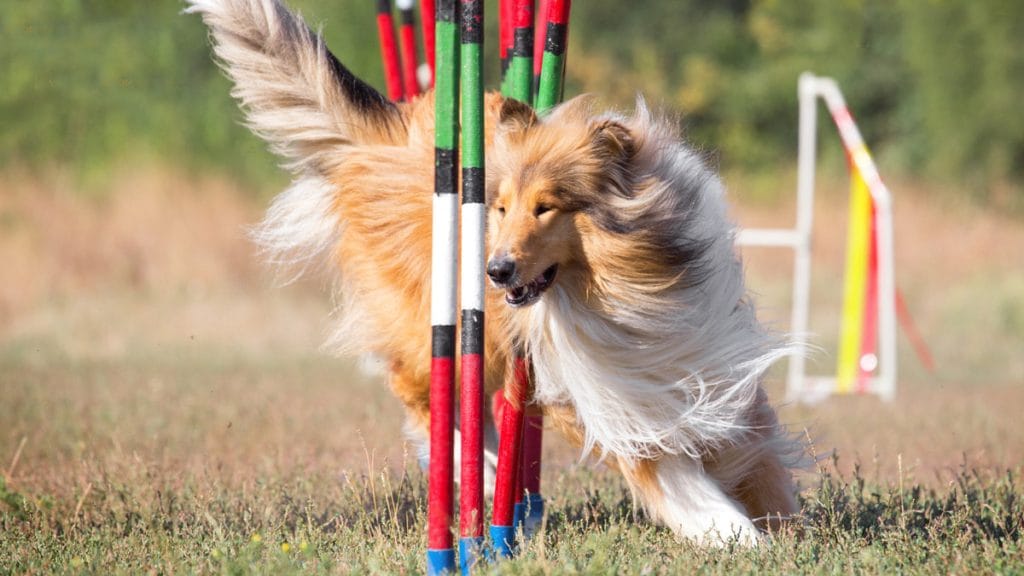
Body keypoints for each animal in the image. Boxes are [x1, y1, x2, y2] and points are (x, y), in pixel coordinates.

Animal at [188, 0, 802, 541]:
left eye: (546, 206)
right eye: (501, 207)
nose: (497, 270)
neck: (625, 293)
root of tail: (391, 134)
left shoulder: (705, 359)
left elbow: (753, 455)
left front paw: (784, 524)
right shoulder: (612, 395)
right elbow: (678, 481)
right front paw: (740, 538)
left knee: (475, 406)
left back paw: (484, 476)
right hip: (435, 321)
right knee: (420, 391)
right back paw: (476, 476)